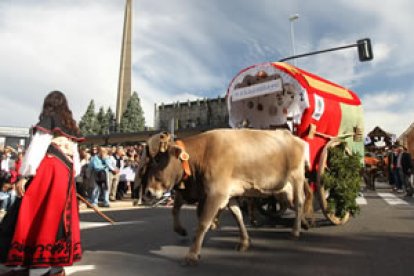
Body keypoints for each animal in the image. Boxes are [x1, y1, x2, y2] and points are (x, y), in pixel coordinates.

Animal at [146, 128, 310, 264]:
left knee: (299, 202)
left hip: (297, 178)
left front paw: (192, 254)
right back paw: (305, 223)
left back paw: (296, 231)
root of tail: (295, 137)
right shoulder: (228, 194)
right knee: (291, 203)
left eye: (157, 160)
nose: (148, 192)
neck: (202, 154)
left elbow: (203, 222)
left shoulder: (216, 193)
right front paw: (244, 242)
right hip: (283, 189)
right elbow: (238, 216)